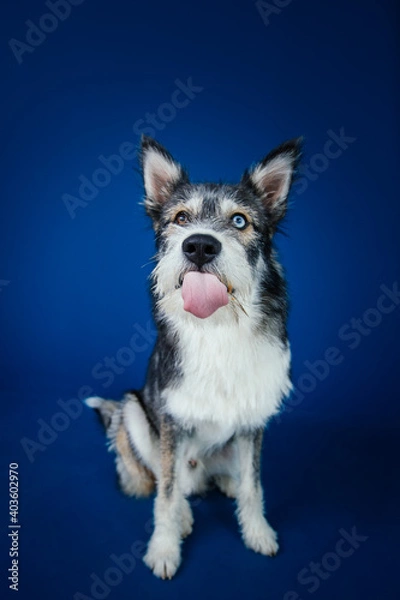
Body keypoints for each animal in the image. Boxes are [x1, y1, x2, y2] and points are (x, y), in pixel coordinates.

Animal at [86, 135, 300, 576]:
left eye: (240, 221)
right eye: (181, 218)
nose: (200, 245)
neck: (217, 325)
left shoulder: (254, 419)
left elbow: (254, 485)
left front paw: (258, 533)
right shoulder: (171, 419)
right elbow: (166, 494)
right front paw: (164, 548)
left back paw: (226, 482)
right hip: (133, 410)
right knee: (167, 479)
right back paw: (184, 512)